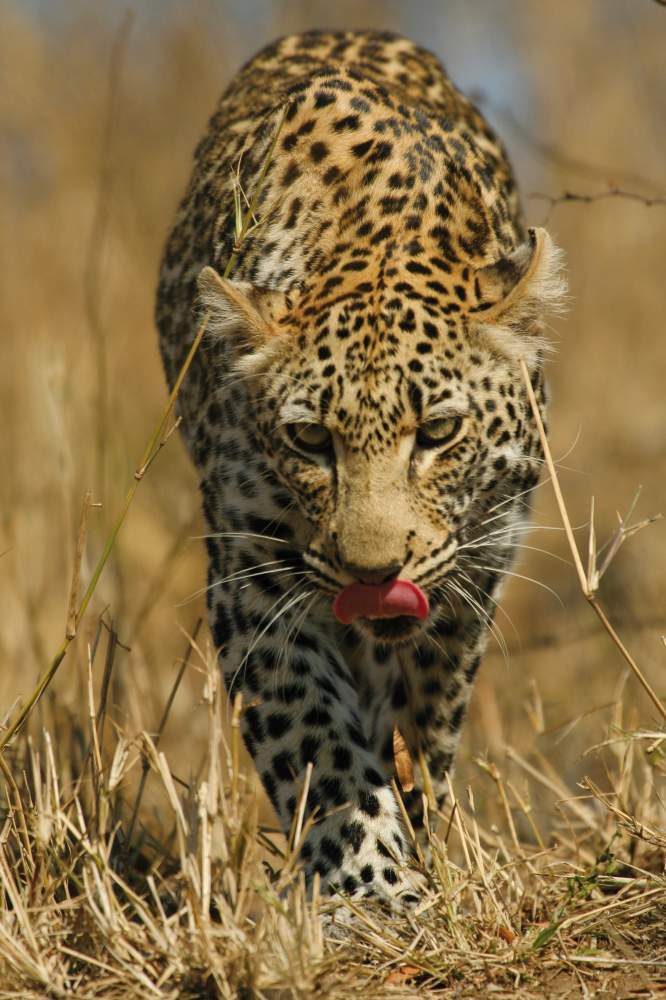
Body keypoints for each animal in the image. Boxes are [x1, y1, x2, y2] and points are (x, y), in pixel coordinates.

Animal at [156, 29, 565, 909]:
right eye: (310, 440)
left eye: (439, 432)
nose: (374, 574)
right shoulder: (254, 578)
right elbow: (315, 739)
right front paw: (372, 884)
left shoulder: (473, 576)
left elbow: (425, 724)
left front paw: (418, 842)